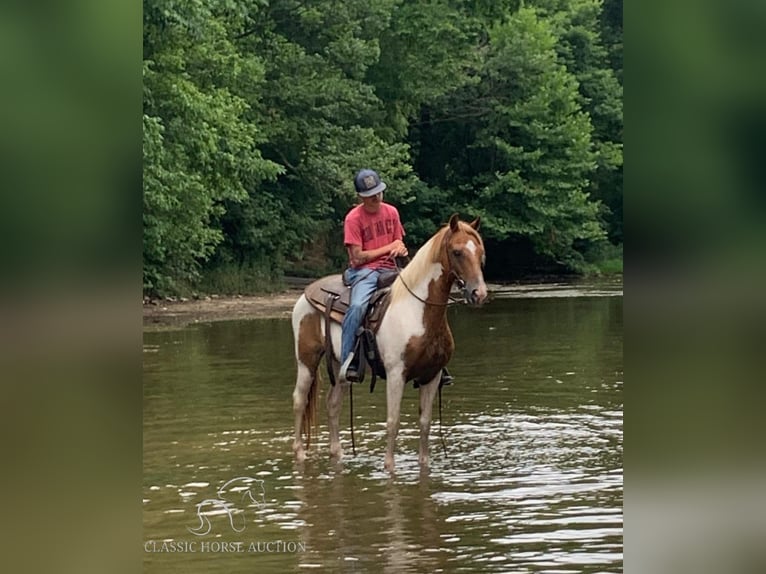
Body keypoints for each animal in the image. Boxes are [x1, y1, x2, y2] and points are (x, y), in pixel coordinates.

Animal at [292, 214, 488, 474]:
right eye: (457, 252)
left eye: (480, 252)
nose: (479, 294)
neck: (418, 311)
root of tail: (307, 293)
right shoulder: (396, 374)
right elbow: (393, 422)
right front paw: (389, 468)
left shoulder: (432, 376)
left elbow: (425, 423)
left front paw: (423, 466)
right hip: (307, 361)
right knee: (299, 399)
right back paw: (299, 453)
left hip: (340, 366)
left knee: (332, 404)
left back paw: (337, 455)